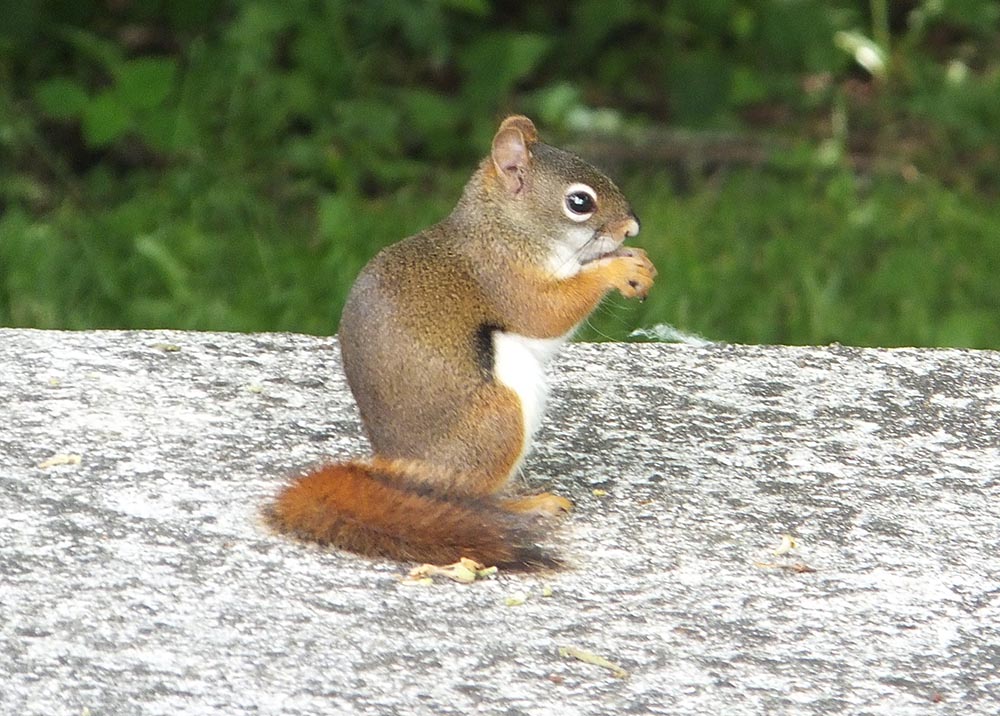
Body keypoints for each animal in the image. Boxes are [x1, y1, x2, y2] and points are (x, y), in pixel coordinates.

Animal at [266, 114, 656, 568]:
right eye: (579, 203)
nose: (632, 227)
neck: (506, 227)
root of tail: (399, 471)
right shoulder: (503, 277)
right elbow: (546, 313)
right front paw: (618, 270)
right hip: (498, 421)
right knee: (475, 494)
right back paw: (525, 506)